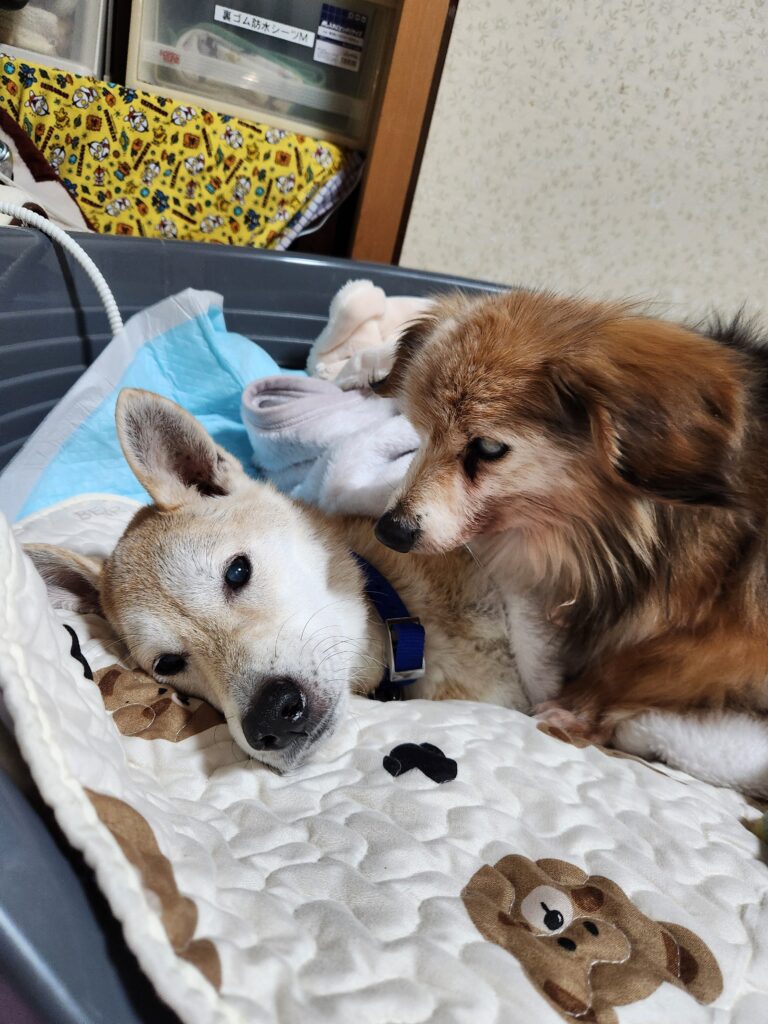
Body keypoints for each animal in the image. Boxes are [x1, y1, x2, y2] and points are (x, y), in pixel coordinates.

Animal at [372, 289, 768, 793]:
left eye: (488, 448)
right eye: (418, 435)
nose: (389, 530)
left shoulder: (735, 639)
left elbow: (639, 663)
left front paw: (571, 710)